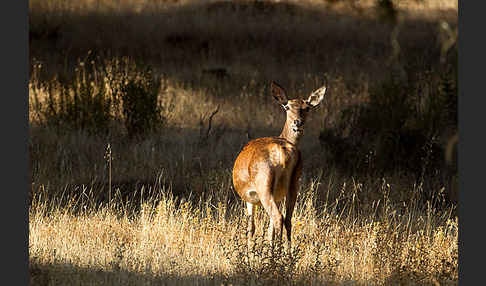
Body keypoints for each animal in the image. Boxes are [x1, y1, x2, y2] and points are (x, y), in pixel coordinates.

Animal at [232, 81, 326, 250]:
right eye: (287, 107)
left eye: (307, 107)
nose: (298, 122)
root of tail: (284, 152)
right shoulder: (278, 196)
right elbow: (269, 231)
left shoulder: (249, 197)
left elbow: (251, 228)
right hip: (294, 182)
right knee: (288, 219)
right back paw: (288, 254)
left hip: (263, 184)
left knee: (278, 217)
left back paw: (278, 255)